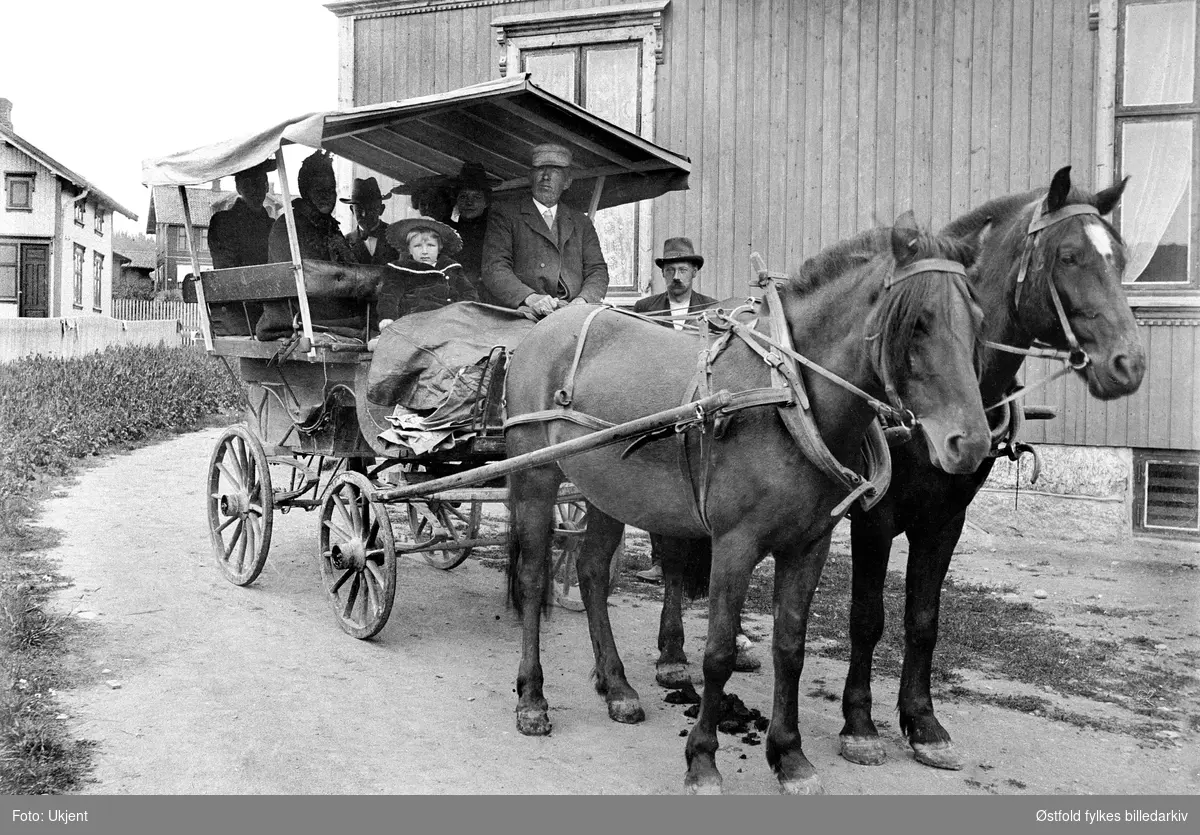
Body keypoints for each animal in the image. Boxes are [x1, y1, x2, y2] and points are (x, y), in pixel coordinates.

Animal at [501, 213, 988, 787]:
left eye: (979, 321)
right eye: (916, 323)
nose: (970, 443)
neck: (788, 397)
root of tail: (547, 324)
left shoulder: (808, 545)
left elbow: (790, 647)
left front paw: (790, 755)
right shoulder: (734, 544)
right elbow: (717, 654)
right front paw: (702, 759)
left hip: (604, 490)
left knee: (593, 573)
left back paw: (617, 687)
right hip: (534, 479)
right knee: (533, 580)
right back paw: (533, 698)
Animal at [840, 164, 1147, 767]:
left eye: (1120, 258)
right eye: (1069, 255)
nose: (1129, 363)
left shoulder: (946, 520)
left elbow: (924, 621)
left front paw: (922, 721)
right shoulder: (874, 516)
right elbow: (867, 618)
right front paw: (859, 723)